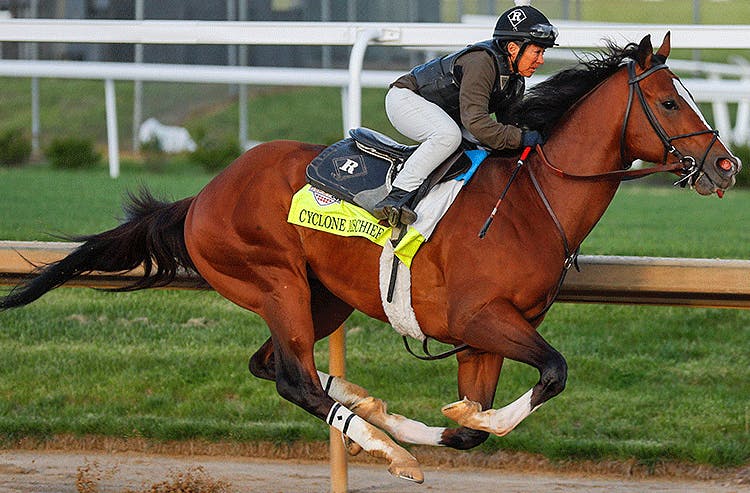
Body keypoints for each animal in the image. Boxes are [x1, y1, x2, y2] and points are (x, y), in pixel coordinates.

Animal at [0, 31, 740, 480]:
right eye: (670, 99)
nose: (727, 166)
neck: (532, 203)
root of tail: (205, 193)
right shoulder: (481, 319)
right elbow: (552, 372)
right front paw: (430, 428)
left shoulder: (483, 340)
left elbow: (471, 430)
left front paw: (449, 417)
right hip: (273, 282)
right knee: (294, 378)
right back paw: (383, 443)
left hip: (319, 296)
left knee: (276, 366)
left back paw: (366, 409)